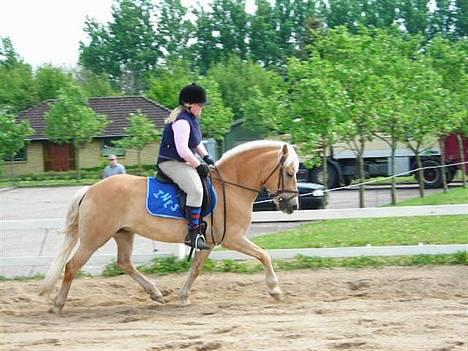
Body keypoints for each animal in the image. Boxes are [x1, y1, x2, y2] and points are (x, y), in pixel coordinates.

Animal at [40, 139, 300, 314]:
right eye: (289, 172)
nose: (293, 205)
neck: (231, 186)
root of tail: (91, 189)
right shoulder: (232, 238)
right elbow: (264, 255)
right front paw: (275, 290)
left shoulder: (208, 244)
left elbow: (195, 269)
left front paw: (183, 296)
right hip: (94, 238)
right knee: (72, 266)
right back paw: (58, 305)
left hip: (123, 234)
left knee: (124, 263)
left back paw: (155, 293)